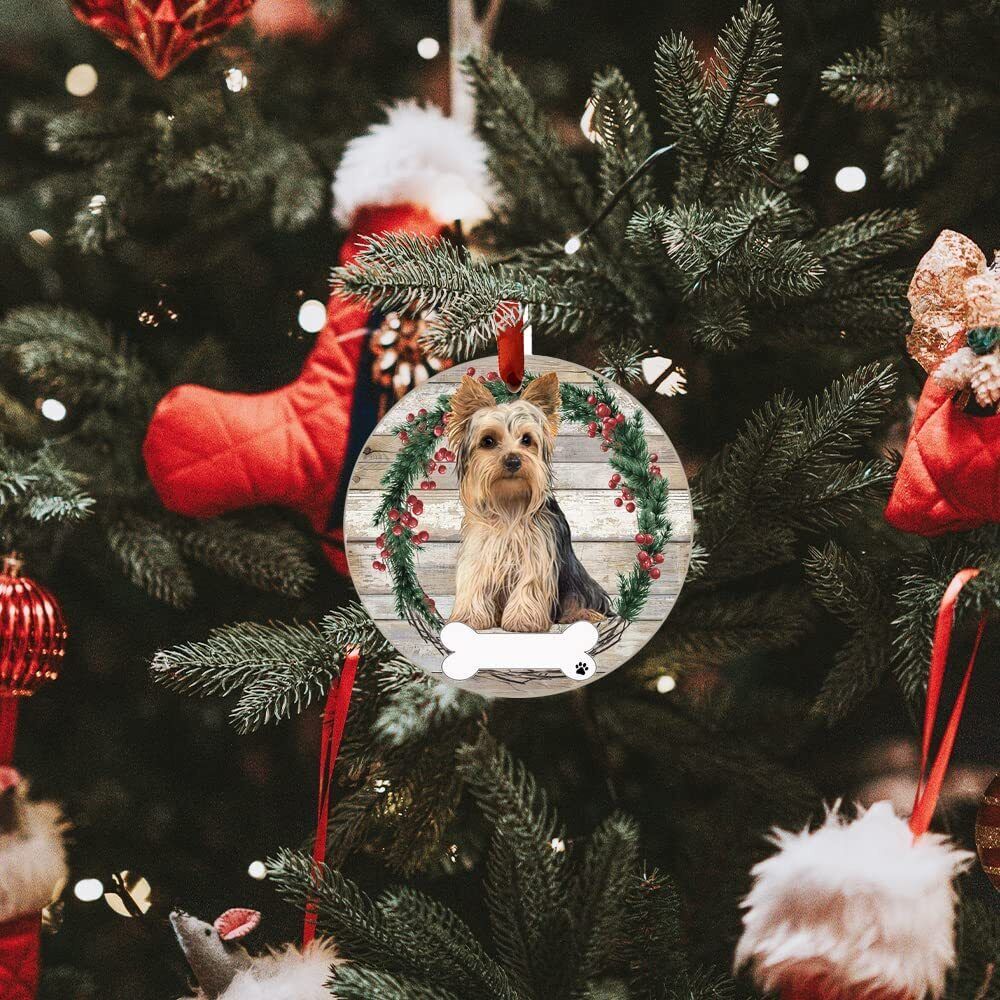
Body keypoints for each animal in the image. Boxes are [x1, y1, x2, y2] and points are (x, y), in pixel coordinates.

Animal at [452, 376, 608, 632]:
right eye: (488, 441)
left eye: (527, 440)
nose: (513, 460)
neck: (509, 504)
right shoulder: (481, 550)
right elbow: (475, 580)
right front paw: (469, 618)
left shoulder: (537, 553)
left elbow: (529, 584)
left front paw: (522, 620)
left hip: (577, 582)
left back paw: (582, 614)